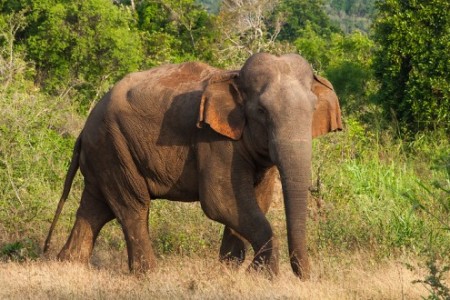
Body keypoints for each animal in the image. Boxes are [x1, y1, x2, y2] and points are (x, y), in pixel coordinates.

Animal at [44, 51, 342, 278]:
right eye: (261, 111)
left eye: (313, 109)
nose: (306, 275)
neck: (234, 76)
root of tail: (84, 128)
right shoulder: (213, 139)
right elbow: (221, 200)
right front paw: (261, 276)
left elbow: (256, 199)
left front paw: (230, 274)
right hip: (114, 146)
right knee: (133, 207)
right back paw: (148, 275)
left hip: (105, 152)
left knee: (95, 208)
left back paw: (67, 265)